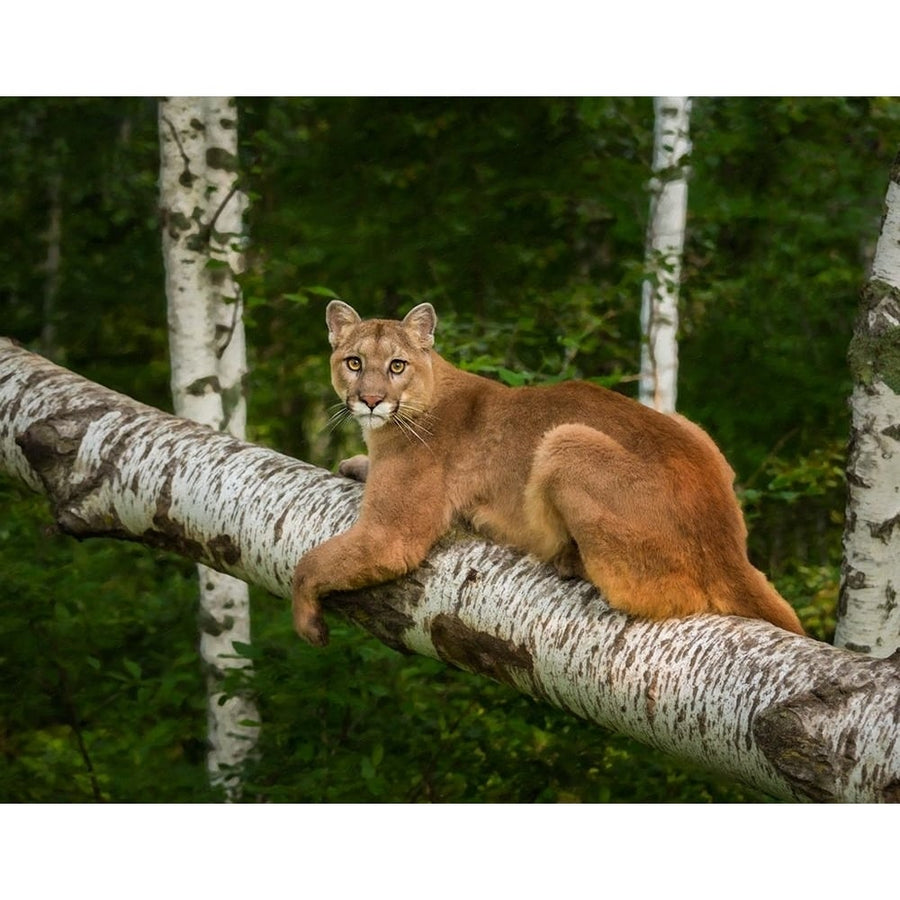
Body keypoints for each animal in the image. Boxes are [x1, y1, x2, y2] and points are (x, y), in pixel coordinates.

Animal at [292, 302, 804, 648]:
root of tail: (728, 546)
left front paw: (306, 622)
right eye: (354, 362)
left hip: (565, 440)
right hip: (685, 424)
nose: (370, 400)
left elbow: (310, 564)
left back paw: (562, 556)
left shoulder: (390, 535)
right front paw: (355, 464)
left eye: (397, 365)